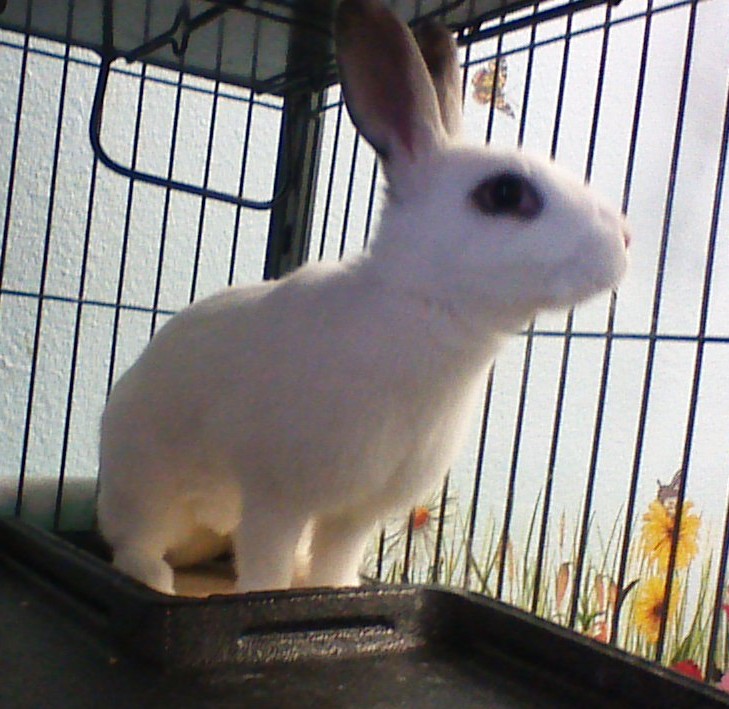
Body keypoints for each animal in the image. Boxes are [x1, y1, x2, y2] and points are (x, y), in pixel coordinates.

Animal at [96, 0, 630, 596]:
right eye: (505, 193)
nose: (626, 241)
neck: (424, 308)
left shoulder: (357, 512)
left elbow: (335, 558)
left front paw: (335, 589)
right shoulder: (275, 496)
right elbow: (265, 563)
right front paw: (266, 595)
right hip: (145, 484)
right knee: (135, 541)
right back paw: (157, 578)